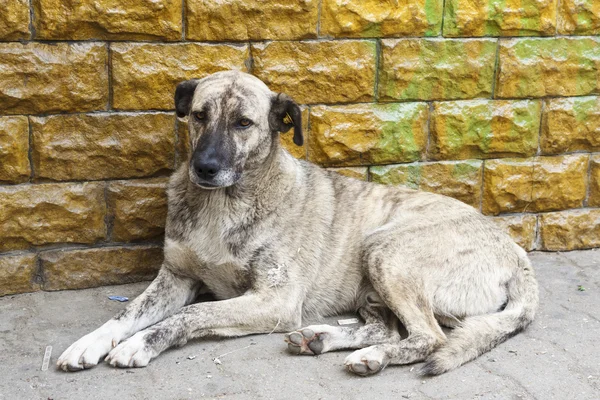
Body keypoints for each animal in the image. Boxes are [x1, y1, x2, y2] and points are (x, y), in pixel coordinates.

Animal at [56, 71, 540, 376]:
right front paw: (90, 342)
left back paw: (374, 357)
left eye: (243, 123)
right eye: (198, 115)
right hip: (373, 279)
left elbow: (192, 313)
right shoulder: (175, 278)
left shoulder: (275, 300)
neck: (222, 204)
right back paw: (324, 338)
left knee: (430, 337)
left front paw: (140, 344)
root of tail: (517, 253)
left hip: (387, 251)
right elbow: (127, 313)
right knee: (384, 325)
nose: (204, 168)